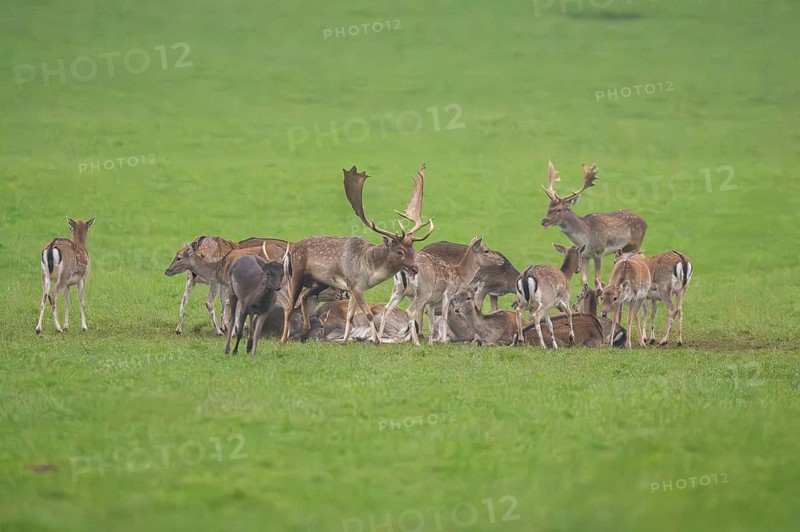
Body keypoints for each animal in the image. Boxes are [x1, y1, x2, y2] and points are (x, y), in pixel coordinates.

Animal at [280, 164, 434, 345]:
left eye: (413, 249)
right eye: (399, 251)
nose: (415, 269)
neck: (369, 271)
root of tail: (291, 251)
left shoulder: (353, 288)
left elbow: (350, 316)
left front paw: (346, 340)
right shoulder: (356, 285)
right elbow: (367, 314)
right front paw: (375, 341)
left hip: (319, 281)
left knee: (304, 296)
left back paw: (305, 333)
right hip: (296, 272)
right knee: (289, 305)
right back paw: (283, 340)